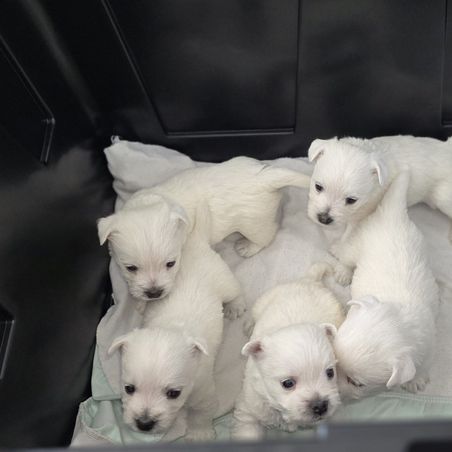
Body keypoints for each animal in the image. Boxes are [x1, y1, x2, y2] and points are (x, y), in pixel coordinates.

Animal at [98, 157, 310, 309]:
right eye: (130, 268)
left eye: (171, 264)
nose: (154, 293)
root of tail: (265, 178)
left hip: (254, 223)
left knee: (267, 234)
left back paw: (248, 246)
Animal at [109, 231, 242, 441]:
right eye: (128, 388)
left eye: (174, 393)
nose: (144, 423)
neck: (170, 327)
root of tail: (194, 243)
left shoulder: (202, 390)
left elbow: (201, 412)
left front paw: (199, 434)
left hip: (223, 279)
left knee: (235, 292)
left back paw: (235, 306)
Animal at [232, 262, 344, 440]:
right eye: (288, 383)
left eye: (330, 373)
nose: (320, 406)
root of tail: (309, 281)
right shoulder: (249, 409)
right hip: (266, 299)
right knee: (255, 313)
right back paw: (249, 324)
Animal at [307, 135, 452, 243]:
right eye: (318, 187)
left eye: (351, 200)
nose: (323, 219)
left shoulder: (363, 212)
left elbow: (349, 232)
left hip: (443, 197)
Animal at [331, 172, 439, 400]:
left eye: (356, 382)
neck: (402, 320)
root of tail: (391, 216)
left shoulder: (428, 347)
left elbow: (423, 366)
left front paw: (416, 380)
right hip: (357, 244)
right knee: (346, 255)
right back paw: (343, 271)